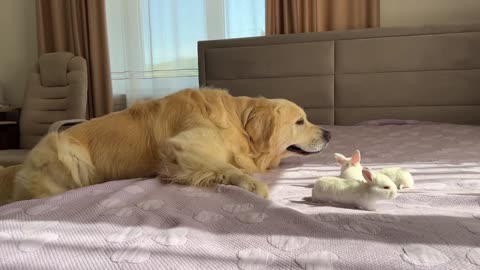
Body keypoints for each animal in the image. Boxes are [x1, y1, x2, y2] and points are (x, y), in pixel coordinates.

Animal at [4, 87, 330, 204]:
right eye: (300, 121)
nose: (328, 133)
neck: (238, 123)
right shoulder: (181, 147)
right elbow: (225, 165)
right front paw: (252, 185)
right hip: (67, 152)